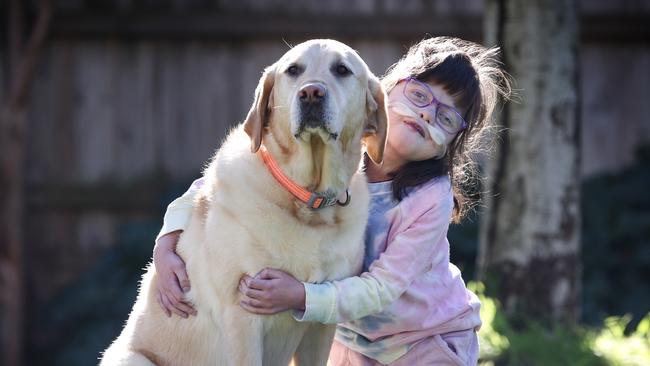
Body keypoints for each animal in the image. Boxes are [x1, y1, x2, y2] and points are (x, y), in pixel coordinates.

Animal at [100, 38, 384, 364]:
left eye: (342, 70)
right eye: (293, 70)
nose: (311, 93)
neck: (305, 198)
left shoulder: (321, 324)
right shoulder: (241, 314)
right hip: (134, 357)